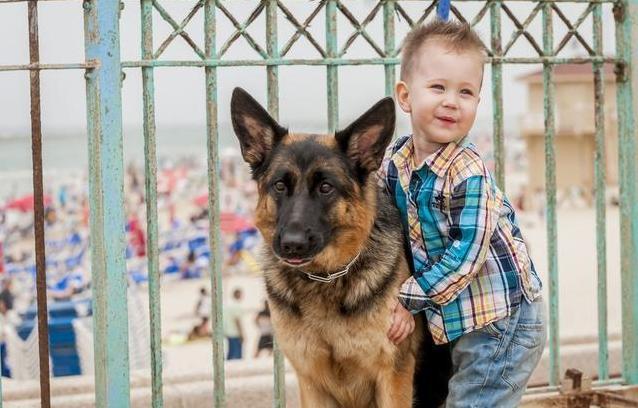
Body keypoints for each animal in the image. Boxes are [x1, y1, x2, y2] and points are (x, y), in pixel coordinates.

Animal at [231, 87, 450, 406]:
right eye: (280, 186)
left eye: (326, 188)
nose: (292, 245)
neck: (325, 278)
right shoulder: (311, 382)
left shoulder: (392, 377)